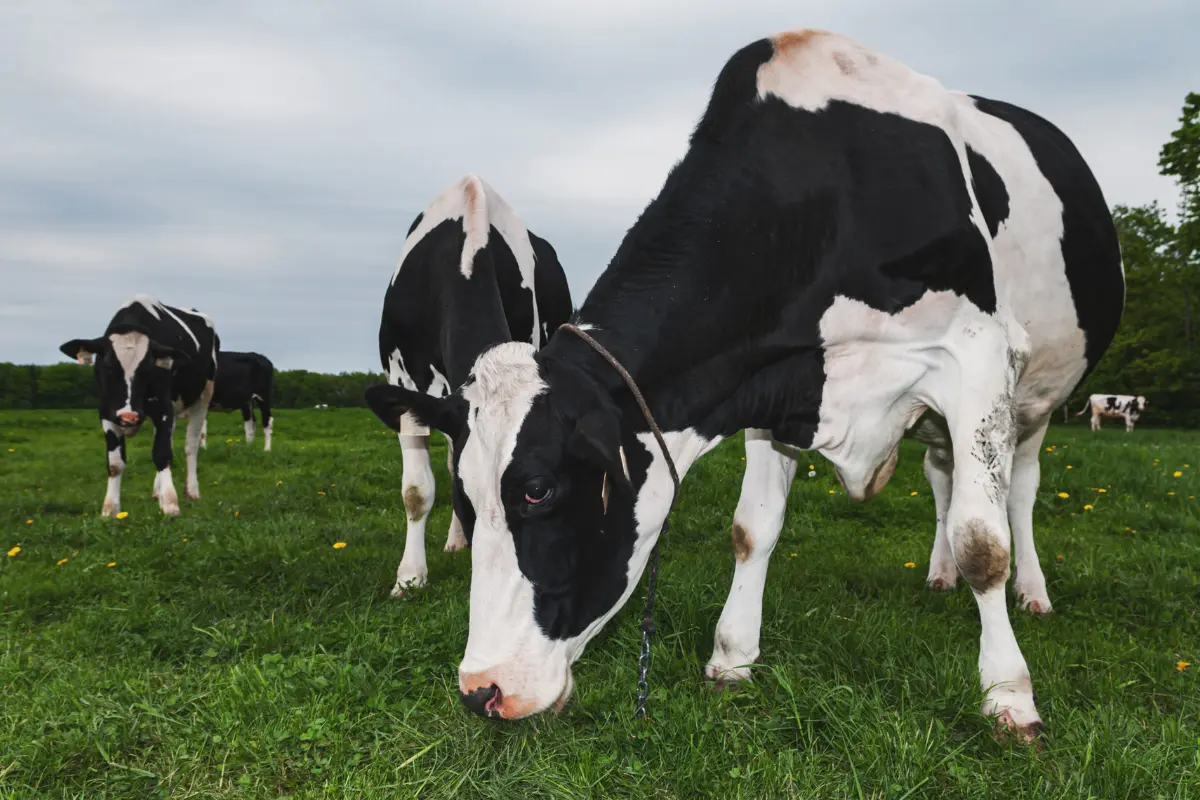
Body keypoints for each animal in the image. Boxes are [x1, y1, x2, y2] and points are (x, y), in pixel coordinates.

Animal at [60, 294, 220, 517]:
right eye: (108, 365)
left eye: (147, 367)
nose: (129, 417)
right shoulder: (107, 412)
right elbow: (115, 463)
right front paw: (110, 509)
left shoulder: (162, 408)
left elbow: (162, 454)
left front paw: (170, 504)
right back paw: (157, 492)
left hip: (203, 395)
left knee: (191, 445)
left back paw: (191, 491)